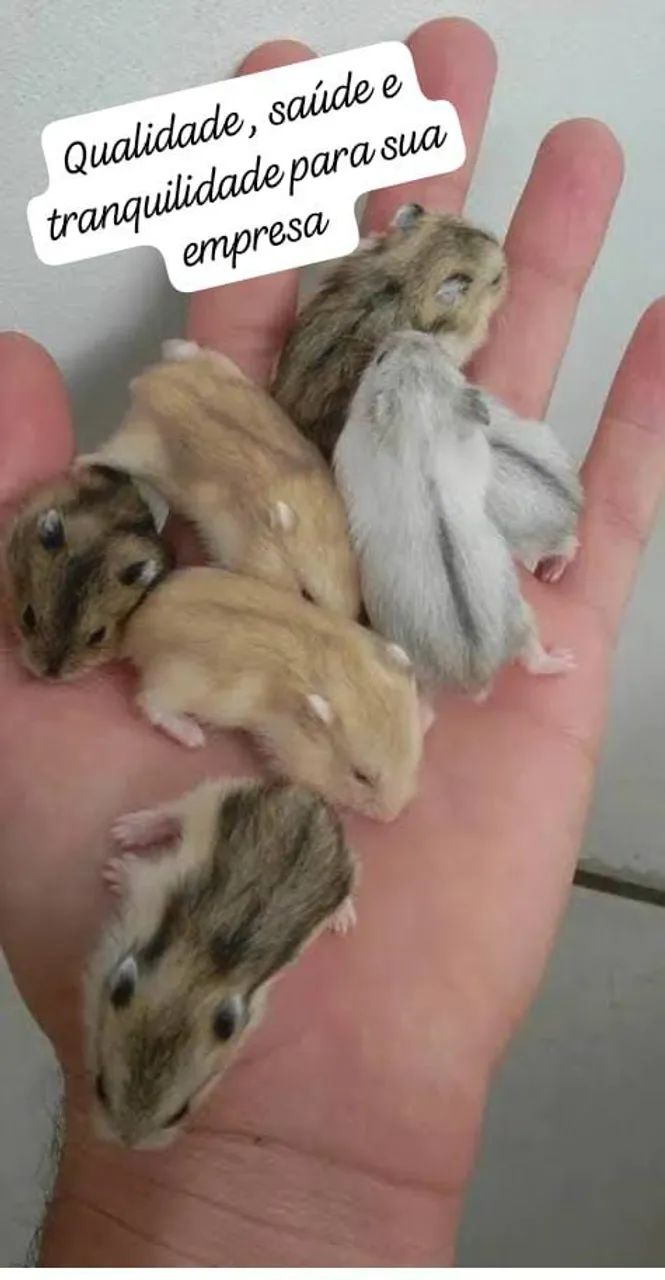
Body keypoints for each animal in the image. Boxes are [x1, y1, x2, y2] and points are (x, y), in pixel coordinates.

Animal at [85, 777, 358, 1149]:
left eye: (180, 1113)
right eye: (99, 1087)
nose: (127, 1145)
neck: (197, 975)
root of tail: (312, 795)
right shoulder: (150, 888)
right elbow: (137, 873)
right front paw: (114, 870)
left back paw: (344, 919)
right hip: (216, 796)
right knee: (173, 811)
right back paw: (126, 830)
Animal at [120, 566, 426, 821]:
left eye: (414, 762)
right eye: (361, 777)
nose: (390, 817)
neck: (345, 674)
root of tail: (135, 628)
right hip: (176, 683)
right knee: (149, 703)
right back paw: (193, 736)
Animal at [334, 331, 575, 694]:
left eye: (380, 358)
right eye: (441, 353)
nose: (403, 332)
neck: (420, 425)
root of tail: (479, 674)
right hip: (521, 616)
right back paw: (565, 659)